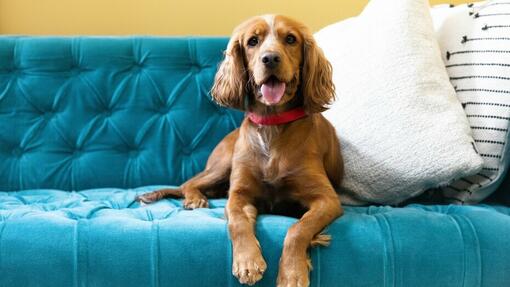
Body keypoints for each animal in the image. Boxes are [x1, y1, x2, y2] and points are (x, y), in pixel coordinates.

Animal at [136, 15, 342, 287]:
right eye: (252, 41)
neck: (271, 127)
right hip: (223, 165)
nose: (270, 58)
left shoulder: (327, 199)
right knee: (188, 183)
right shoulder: (239, 195)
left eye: (291, 39)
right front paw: (248, 262)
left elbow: (298, 229)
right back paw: (195, 199)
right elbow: (238, 222)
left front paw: (293, 273)